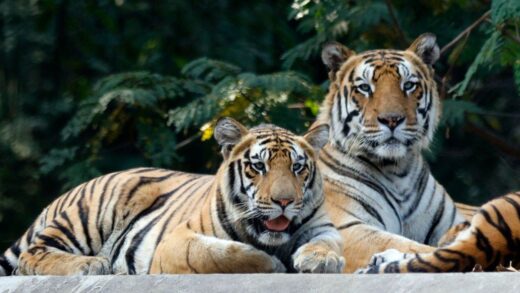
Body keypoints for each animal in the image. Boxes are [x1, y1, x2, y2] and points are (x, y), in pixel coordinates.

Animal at [1, 117, 346, 274]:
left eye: (298, 167)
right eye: (258, 166)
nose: (284, 202)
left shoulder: (322, 228)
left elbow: (325, 243)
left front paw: (322, 260)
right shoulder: (180, 240)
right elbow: (225, 254)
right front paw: (272, 264)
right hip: (87, 218)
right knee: (33, 254)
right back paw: (91, 264)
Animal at [312, 32, 480, 272]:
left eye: (408, 85)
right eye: (365, 88)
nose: (391, 119)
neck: (398, 170)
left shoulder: (451, 220)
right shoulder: (348, 227)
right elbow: (409, 245)